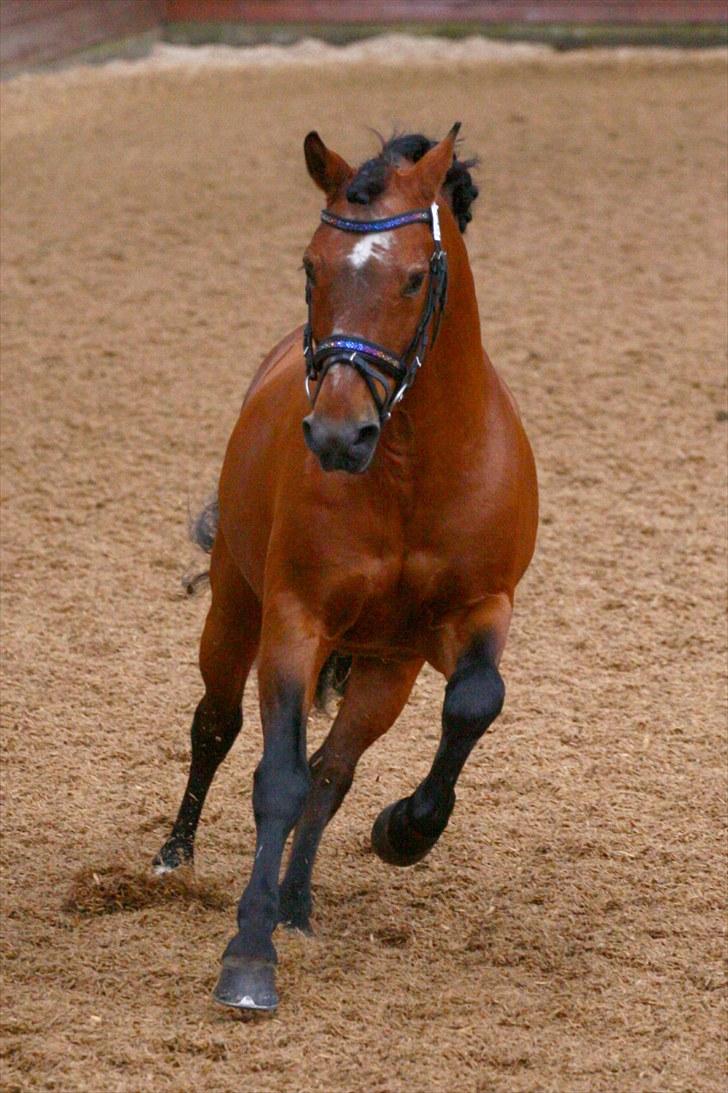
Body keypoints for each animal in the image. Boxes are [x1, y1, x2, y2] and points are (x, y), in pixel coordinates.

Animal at [153, 124, 535, 1009]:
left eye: (415, 276)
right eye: (310, 266)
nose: (335, 436)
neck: (408, 467)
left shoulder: (477, 610)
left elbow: (474, 702)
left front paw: (405, 830)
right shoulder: (296, 620)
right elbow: (277, 778)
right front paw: (247, 958)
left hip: (385, 669)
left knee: (336, 769)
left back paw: (297, 902)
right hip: (235, 612)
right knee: (215, 724)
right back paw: (173, 858)